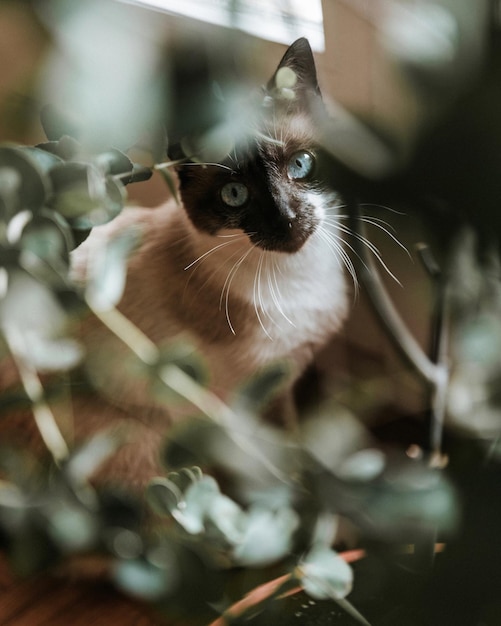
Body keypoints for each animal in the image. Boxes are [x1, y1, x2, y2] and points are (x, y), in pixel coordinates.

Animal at [1, 39, 350, 486]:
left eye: (301, 165)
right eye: (234, 195)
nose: (285, 219)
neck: (298, 281)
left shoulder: (283, 380)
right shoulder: (246, 401)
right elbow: (275, 464)